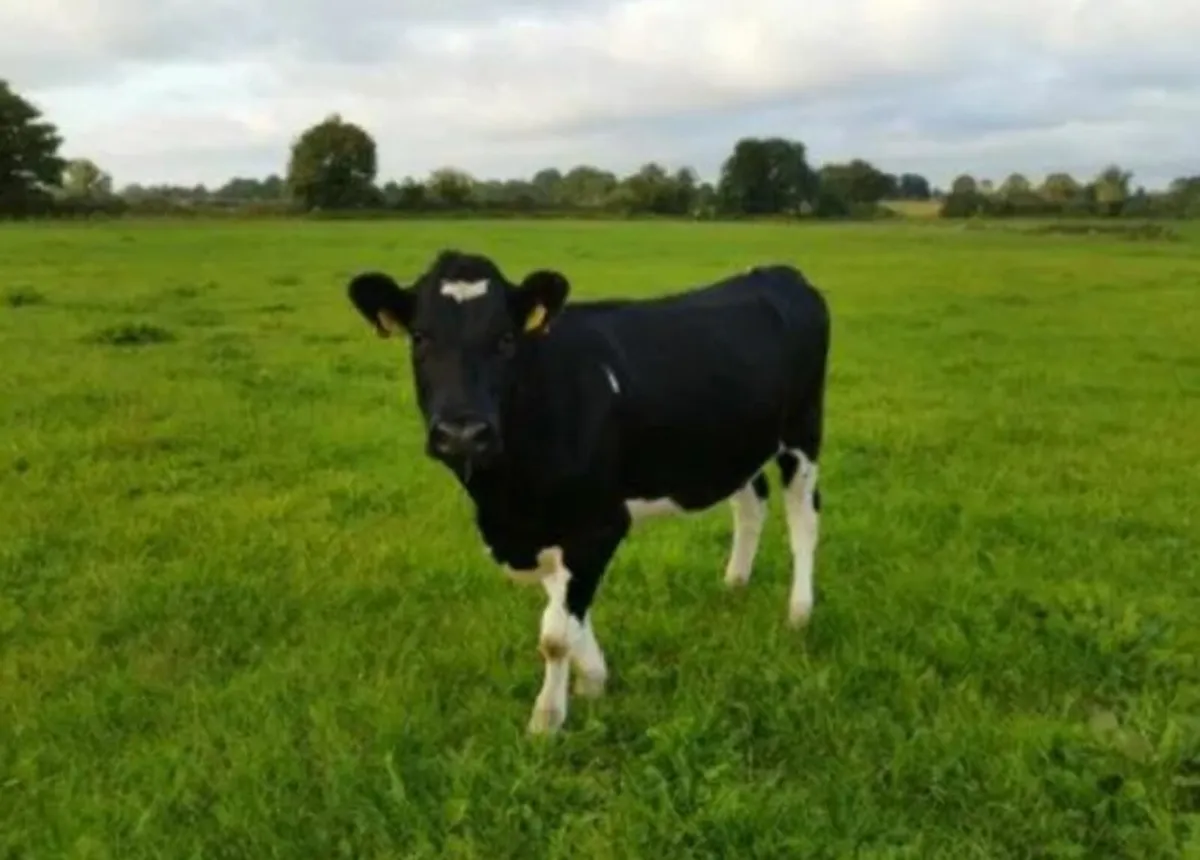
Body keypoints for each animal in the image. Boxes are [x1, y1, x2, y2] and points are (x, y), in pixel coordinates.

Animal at [346, 249, 830, 734]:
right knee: (751, 503)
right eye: (419, 338)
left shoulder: (599, 524)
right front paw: (594, 679)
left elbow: (556, 633)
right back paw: (734, 583)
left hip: (802, 432)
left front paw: (547, 719)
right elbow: (564, 608)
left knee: (804, 521)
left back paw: (800, 613)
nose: (462, 433)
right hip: (736, 445)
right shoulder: (543, 529)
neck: (506, 500)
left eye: (505, 338)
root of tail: (778, 271)